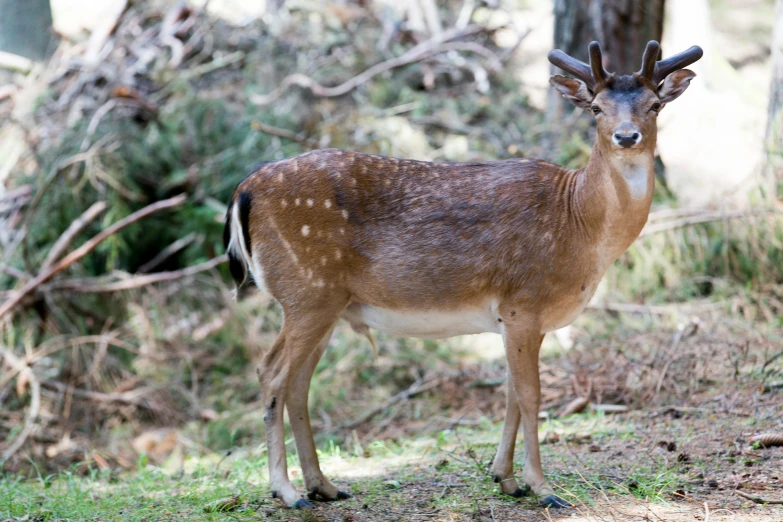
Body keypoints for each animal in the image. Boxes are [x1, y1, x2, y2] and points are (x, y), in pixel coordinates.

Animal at [222, 40, 704, 508]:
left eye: (654, 105)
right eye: (597, 108)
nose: (627, 136)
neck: (579, 225)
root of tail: (243, 191)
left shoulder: (517, 318)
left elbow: (510, 393)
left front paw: (505, 479)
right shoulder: (523, 302)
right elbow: (531, 394)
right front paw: (542, 487)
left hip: (326, 303)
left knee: (299, 382)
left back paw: (323, 486)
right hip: (307, 291)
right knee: (272, 373)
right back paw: (286, 492)